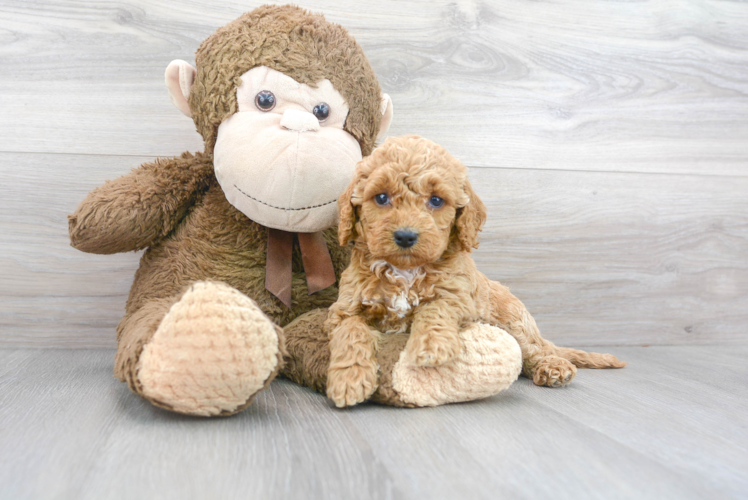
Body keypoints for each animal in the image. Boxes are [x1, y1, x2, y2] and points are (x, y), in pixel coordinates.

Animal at [328, 136, 624, 406]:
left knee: (533, 350)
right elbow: (350, 331)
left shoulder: (460, 296)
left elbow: (436, 307)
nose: (405, 236)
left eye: (436, 200)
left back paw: (553, 367)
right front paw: (348, 380)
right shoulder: (345, 307)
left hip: (515, 322)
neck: (405, 271)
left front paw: (431, 346)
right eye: (381, 197)